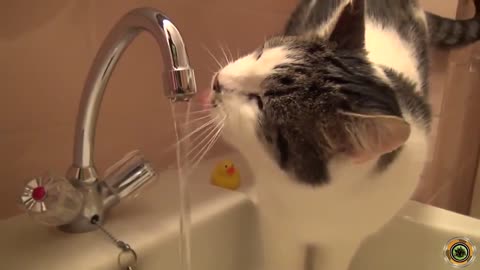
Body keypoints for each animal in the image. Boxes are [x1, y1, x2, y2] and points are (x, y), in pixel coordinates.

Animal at [204, 0, 480, 270]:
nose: (217, 81)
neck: (311, 196)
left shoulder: (344, 240)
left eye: (259, 103)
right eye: (260, 54)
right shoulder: (278, 228)